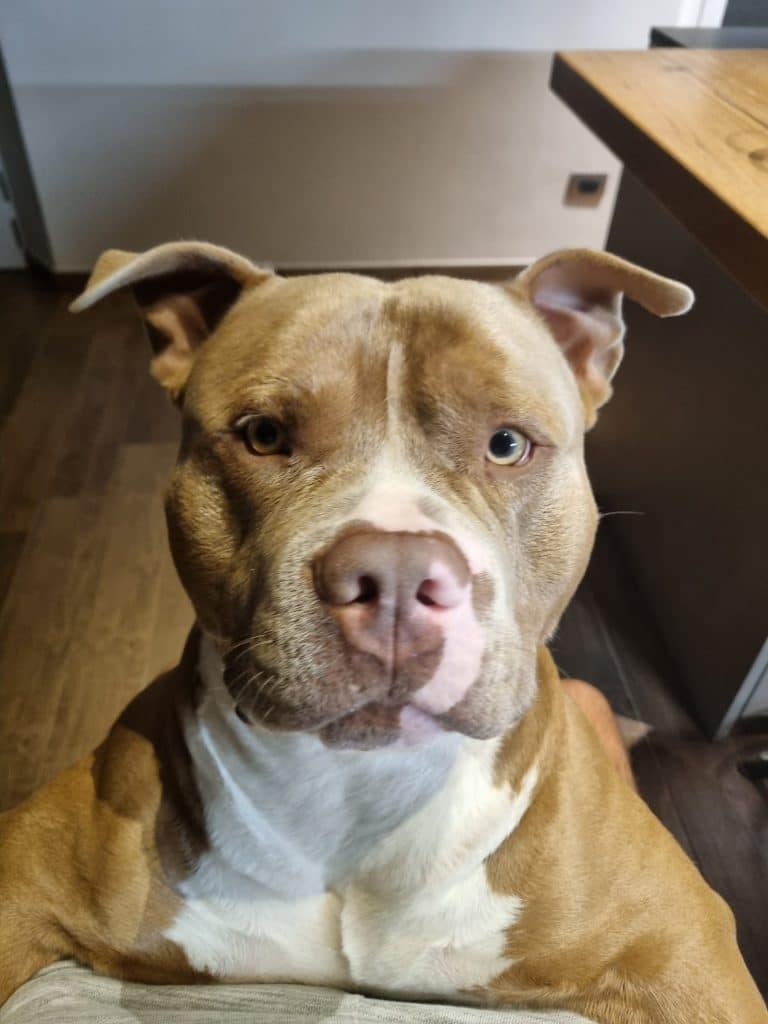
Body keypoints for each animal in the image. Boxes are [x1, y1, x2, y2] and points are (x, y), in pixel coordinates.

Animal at [0, 242, 764, 1023]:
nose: (396, 578)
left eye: (508, 444)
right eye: (264, 435)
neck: (364, 789)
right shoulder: (23, 886)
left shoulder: (682, 952)